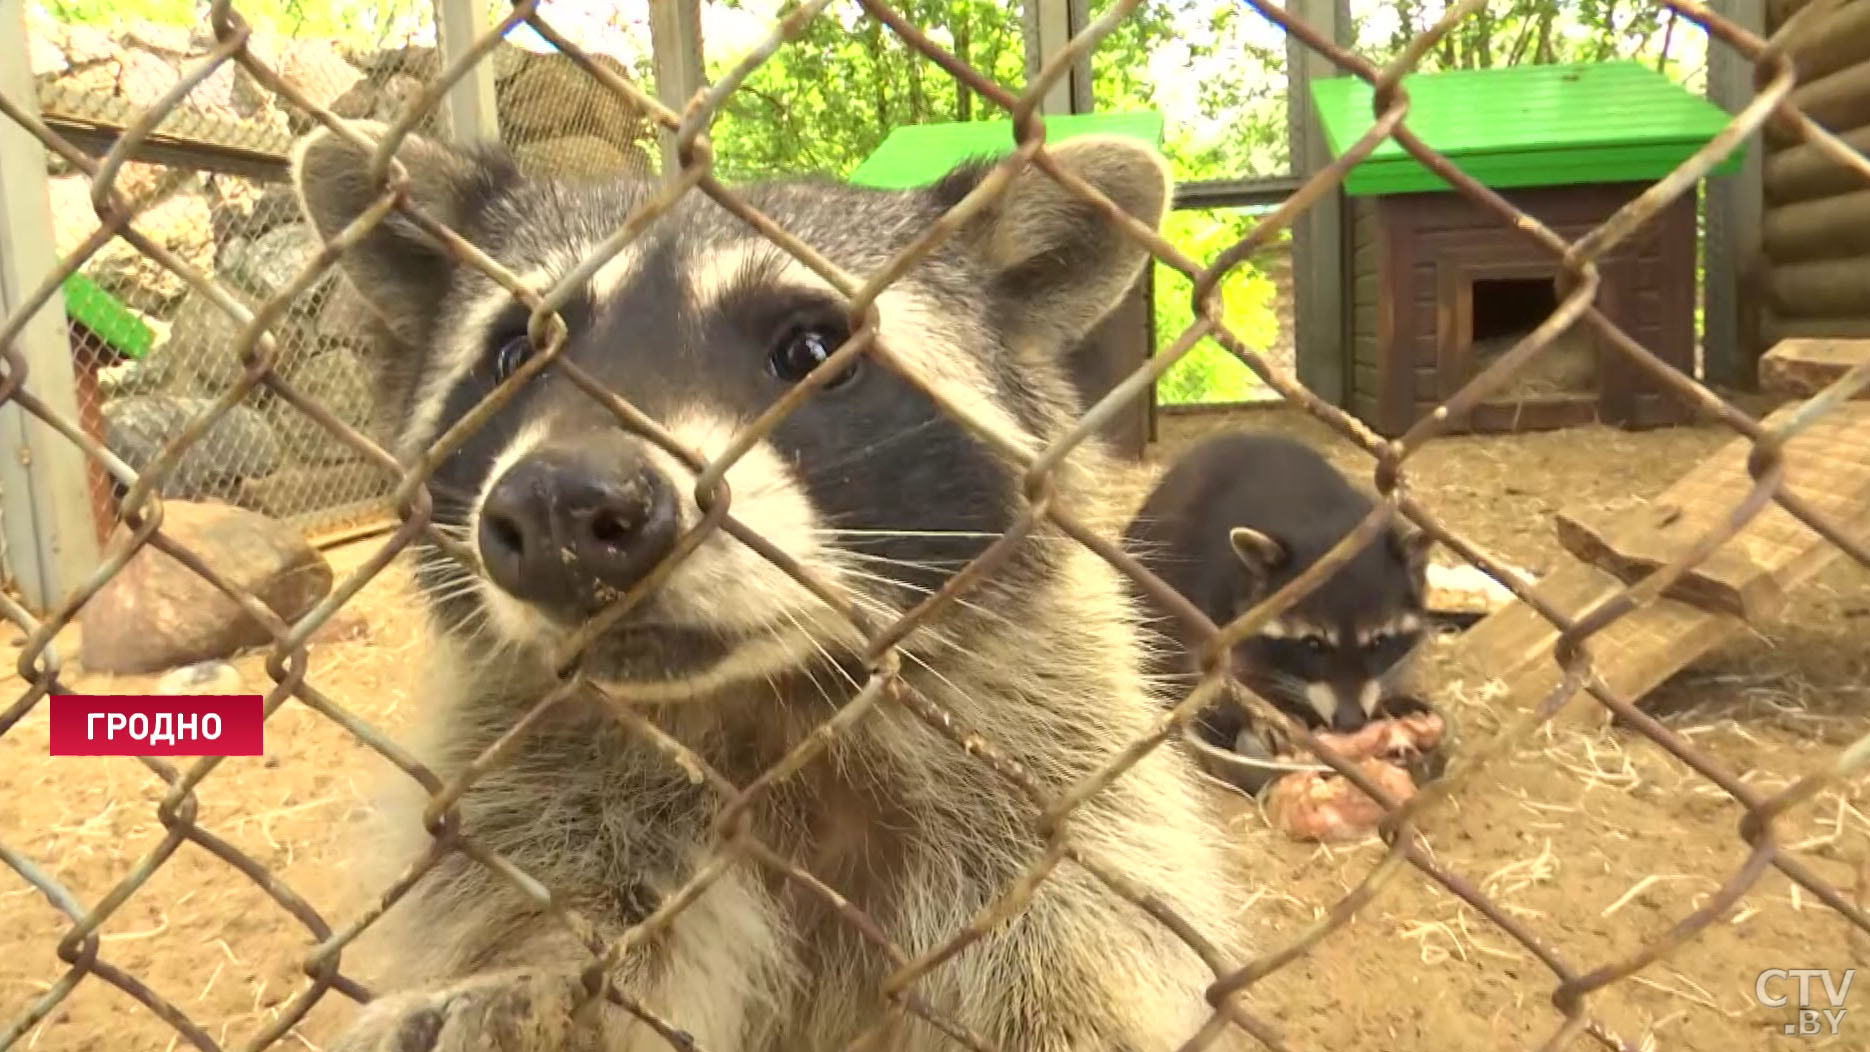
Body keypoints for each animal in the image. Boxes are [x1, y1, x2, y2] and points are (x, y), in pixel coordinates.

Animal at [291, 123, 1256, 1052]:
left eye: (811, 350)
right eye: (518, 352)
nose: (564, 507)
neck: (768, 705)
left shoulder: (1054, 759)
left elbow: (1081, 922)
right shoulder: (538, 779)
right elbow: (533, 894)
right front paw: (530, 981)